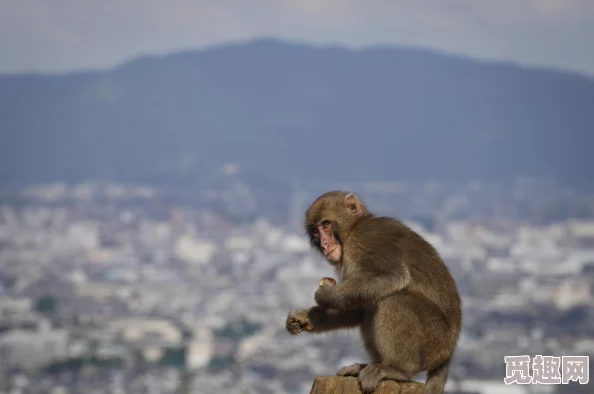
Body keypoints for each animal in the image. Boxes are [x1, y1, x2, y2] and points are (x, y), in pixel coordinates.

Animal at [284, 189, 460, 392]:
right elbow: (358, 308)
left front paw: (325, 295)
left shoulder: (367, 238)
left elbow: (394, 276)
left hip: (436, 340)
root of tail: (448, 354)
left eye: (326, 225)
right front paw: (306, 316)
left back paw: (398, 368)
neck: (353, 229)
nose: (324, 244)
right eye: (315, 231)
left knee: (395, 300)